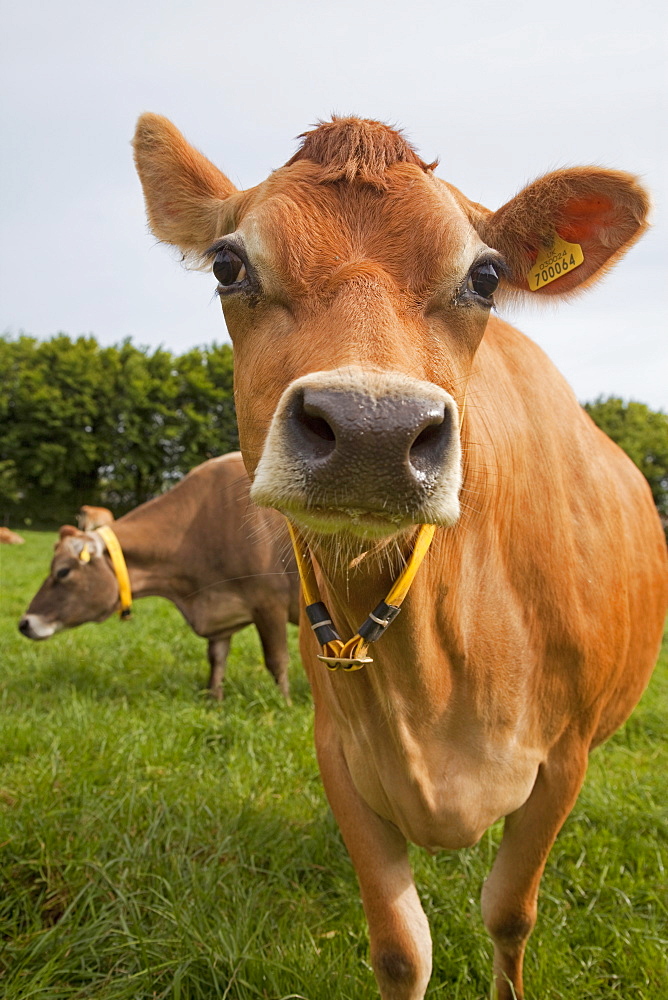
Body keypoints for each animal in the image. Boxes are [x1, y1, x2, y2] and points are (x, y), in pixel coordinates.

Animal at [20, 456, 298, 700]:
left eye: (63, 571)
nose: (24, 623)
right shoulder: (219, 609)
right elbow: (217, 658)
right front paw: (214, 699)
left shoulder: (270, 602)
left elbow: (277, 660)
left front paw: (284, 703)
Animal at [132, 117, 668, 1000]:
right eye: (228, 264)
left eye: (486, 276)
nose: (371, 432)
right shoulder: (341, 753)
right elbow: (400, 948)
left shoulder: (563, 760)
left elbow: (509, 913)